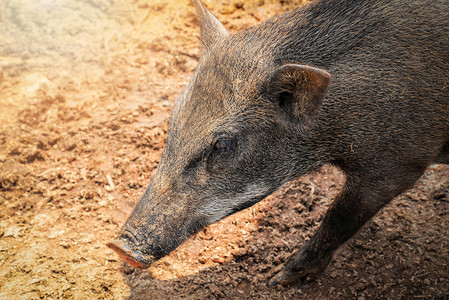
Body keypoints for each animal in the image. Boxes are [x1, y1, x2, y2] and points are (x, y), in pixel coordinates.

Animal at [108, 0, 448, 288]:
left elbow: (339, 217)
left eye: (222, 144)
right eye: (174, 117)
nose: (118, 246)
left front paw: (277, 279)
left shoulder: (398, 162)